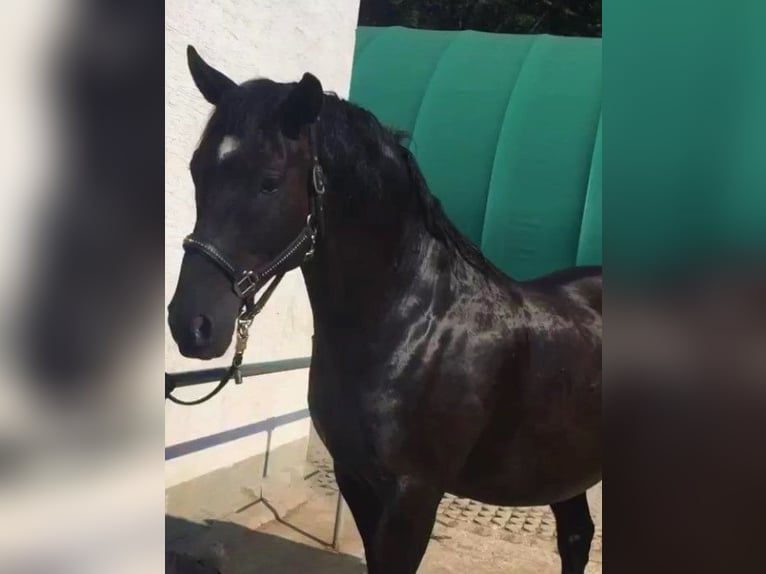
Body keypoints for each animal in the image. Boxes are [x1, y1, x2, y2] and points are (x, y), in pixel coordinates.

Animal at [168, 46, 602, 574]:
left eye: (269, 183)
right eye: (196, 170)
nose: (191, 324)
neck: (413, 326)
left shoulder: (414, 495)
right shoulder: (355, 479)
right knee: (576, 536)